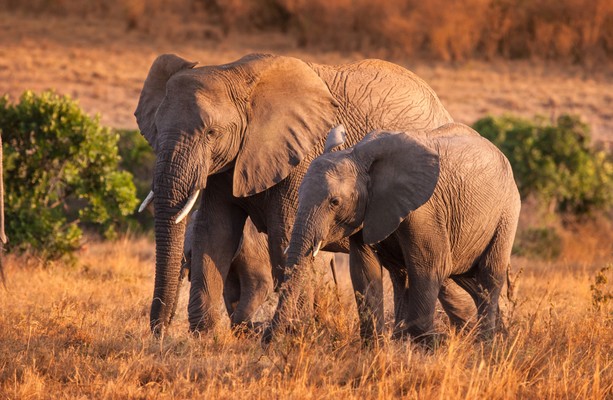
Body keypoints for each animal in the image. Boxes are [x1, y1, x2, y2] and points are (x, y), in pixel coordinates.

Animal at [134, 52, 468, 338]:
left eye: (211, 133)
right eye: (155, 129)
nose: (160, 334)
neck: (234, 73)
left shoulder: (302, 154)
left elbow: (284, 236)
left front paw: (293, 334)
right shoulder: (227, 164)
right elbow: (214, 233)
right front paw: (204, 339)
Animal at [284, 122, 520, 340]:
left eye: (334, 202)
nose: (279, 335)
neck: (357, 155)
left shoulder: (424, 211)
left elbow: (430, 266)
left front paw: (423, 346)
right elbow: (364, 269)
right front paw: (376, 346)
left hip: (507, 212)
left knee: (489, 274)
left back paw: (486, 343)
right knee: (465, 280)